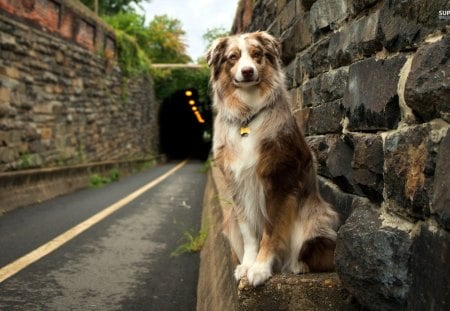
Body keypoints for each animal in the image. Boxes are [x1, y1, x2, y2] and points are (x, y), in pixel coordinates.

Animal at [206, 31, 340, 288]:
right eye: (232, 57)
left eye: (257, 54)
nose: (247, 71)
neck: (247, 115)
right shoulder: (237, 185)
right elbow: (249, 231)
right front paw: (248, 265)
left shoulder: (279, 180)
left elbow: (272, 229)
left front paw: (260, 268)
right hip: (229, 221)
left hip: (316, 217)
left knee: (315, 254)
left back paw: (297, 266)